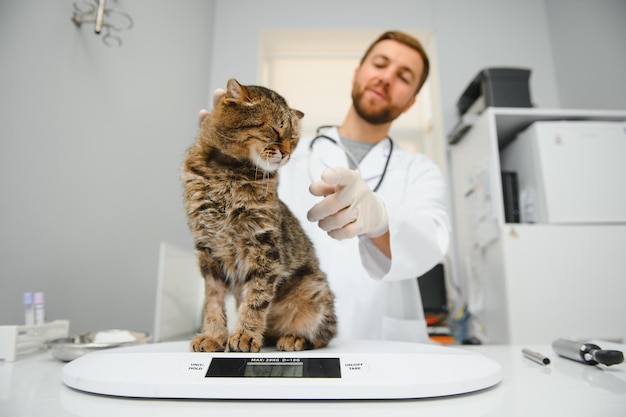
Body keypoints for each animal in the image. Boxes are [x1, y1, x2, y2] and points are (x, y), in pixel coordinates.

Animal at [180, 78, 336, 352]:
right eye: (275, 130)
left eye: (293, 139)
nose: (286, 153)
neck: (228, 173)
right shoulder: (207, 250)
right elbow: (213, 302)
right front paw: (213, 336)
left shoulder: (264, 245)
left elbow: (256, 298)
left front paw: (244, 334)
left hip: (316, 291)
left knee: (323, 335)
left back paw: (293, 338)